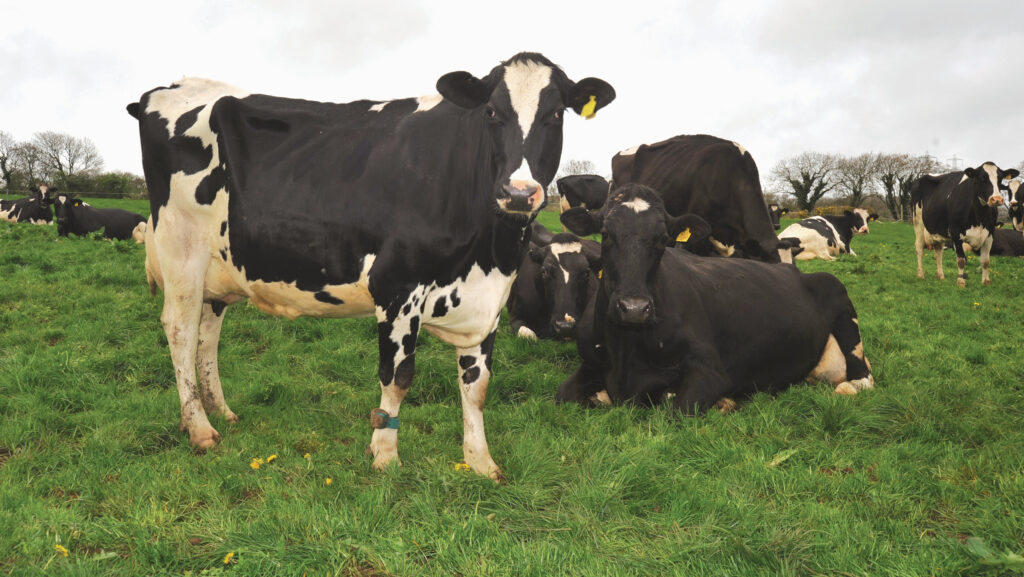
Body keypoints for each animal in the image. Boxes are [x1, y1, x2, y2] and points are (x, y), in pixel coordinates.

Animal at [128, 52, 615, 481]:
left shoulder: (488, 303)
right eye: (492, 112)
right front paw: (384, 456)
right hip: (181, 251)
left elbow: (476, 387)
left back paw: (222, 412)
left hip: (219, 268)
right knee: (180, 331)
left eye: (557, 115)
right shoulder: (397, 287)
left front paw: (480, 463)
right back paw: (199, 427)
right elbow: (397, 378)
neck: (490, 251)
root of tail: (170, 87)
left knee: (207, 336)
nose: (519, 193)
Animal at [556, 184, 874, 412]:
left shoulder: (710, 370)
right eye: (605, 234)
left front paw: (721, 401)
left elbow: (679, 407)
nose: (634, 309)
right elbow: (562, 395)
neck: (625, 352)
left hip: (839, 298)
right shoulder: (590, 362)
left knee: (862, 378)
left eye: (662, 238)